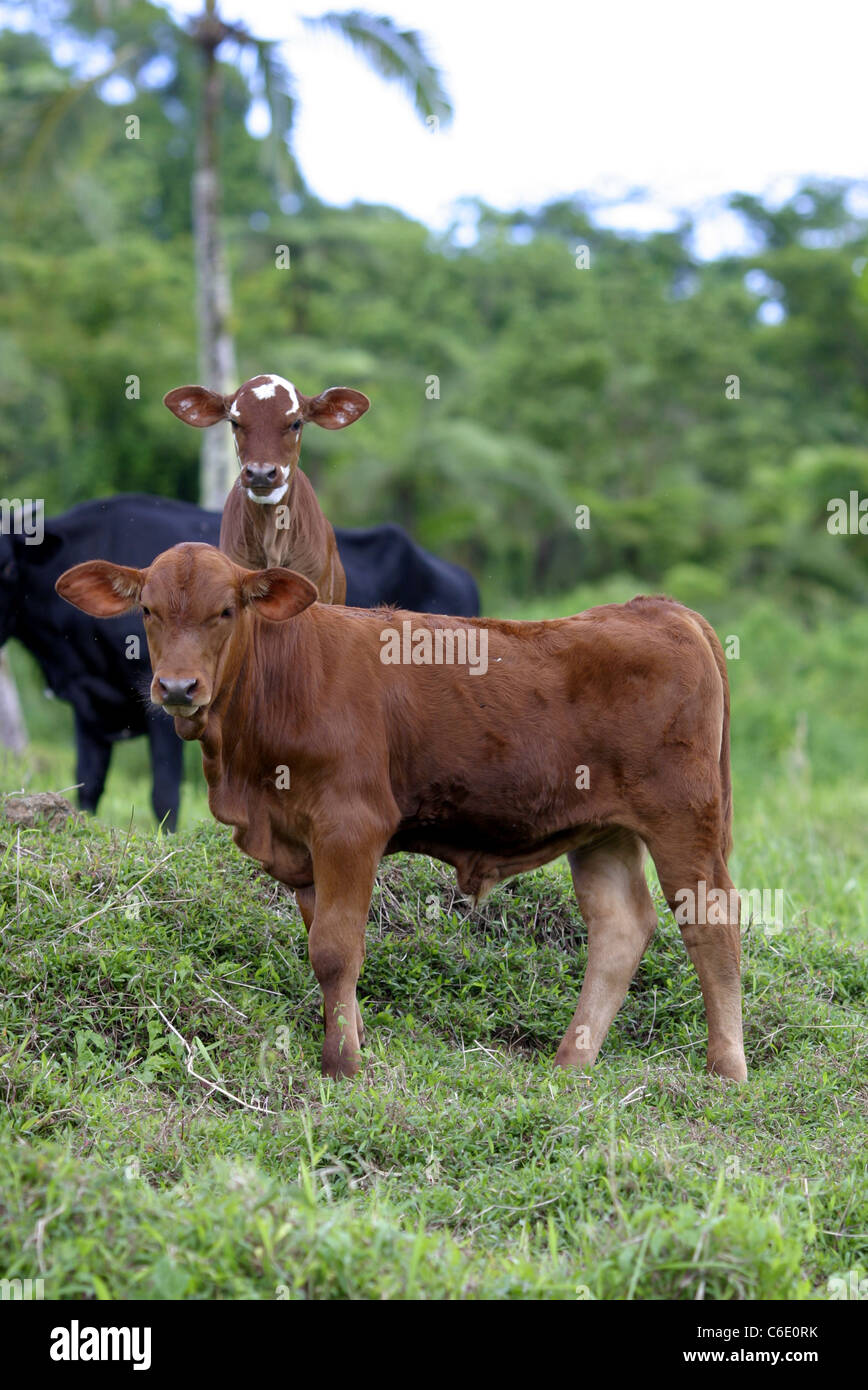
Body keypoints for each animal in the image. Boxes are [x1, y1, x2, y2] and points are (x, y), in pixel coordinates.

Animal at [57, 542, 747, 1084]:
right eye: (148, 611)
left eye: (225, 610)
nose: (177, 688)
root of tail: (656, 608)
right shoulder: (301, 843)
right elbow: (324, 941)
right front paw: (353, 1038)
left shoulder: (350, 824)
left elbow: (335, 948)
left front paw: (342, 1066)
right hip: (603, 832)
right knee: (620, 927)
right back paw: (570, 1065)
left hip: (684, 819)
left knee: (712, 922)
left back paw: (726, 1071)